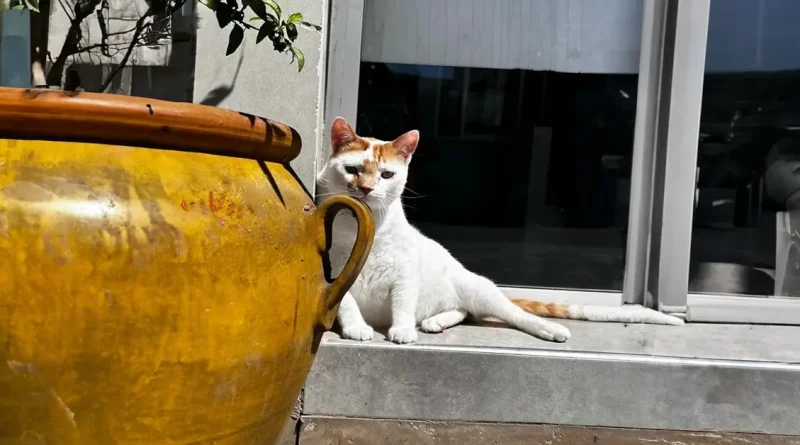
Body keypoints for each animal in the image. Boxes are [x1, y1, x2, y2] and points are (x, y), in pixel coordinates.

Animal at [316, 117, 684, 344]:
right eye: (353, 170)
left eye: (387, 175)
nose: (366, 189)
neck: (368, 226)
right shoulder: (336, 273)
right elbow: (346, 303)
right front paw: (357, 328)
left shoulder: (405, 275)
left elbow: (403, 304)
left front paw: (403, 330)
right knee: (464, 311)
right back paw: (435, 321)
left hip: (480, 290)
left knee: (511, 314)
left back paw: (550, 329)